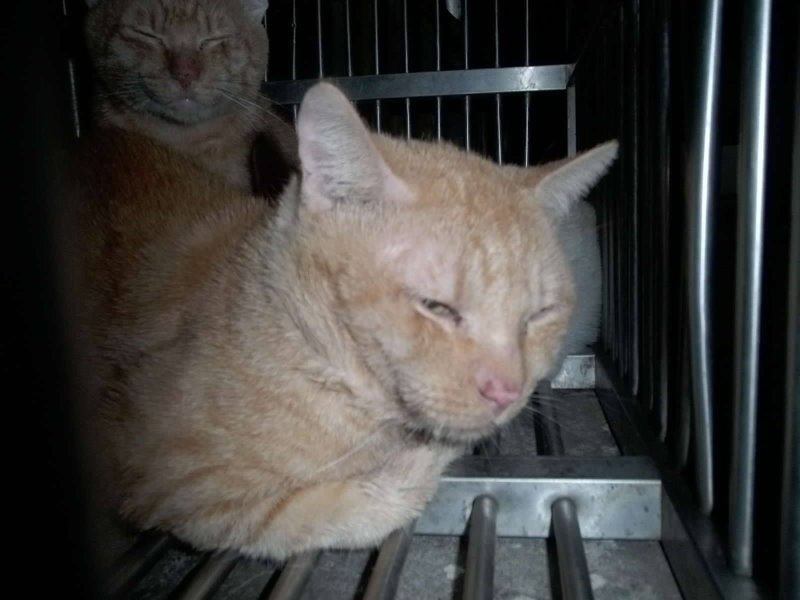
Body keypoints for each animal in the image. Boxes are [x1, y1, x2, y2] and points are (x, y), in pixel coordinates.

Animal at [74, 82, 617, 560]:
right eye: (437, 307)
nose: (507, 391)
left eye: (539, 315)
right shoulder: (167, 478)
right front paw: (412, 469)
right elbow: (301, 516)